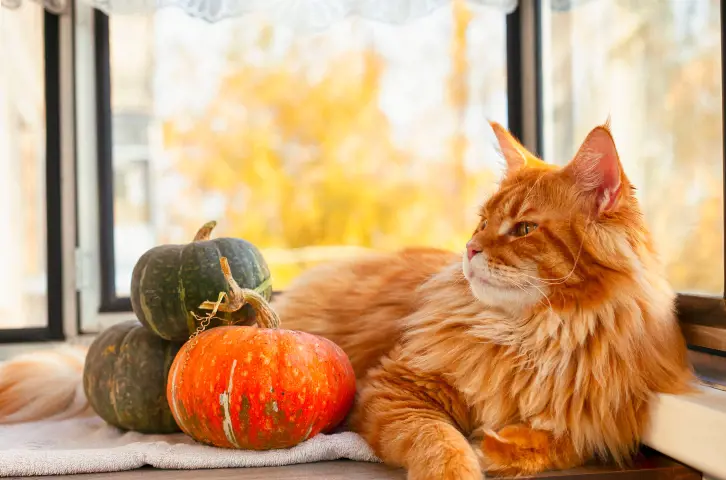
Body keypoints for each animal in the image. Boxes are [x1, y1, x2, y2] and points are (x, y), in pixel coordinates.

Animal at [0, 122, 696, 478]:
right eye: (481, 222)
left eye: (523, 229)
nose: (471, 250)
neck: (534, 336)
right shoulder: (394, 389)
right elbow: (442, 443)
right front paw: (466, 460)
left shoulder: (600, 422)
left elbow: (553, 443)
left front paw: (501, 445)